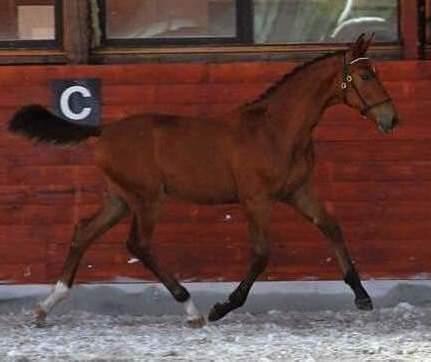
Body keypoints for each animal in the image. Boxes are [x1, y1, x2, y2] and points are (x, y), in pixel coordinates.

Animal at [8, 34, 400, 328]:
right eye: (366, 77)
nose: (391, 119)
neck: (276, 130)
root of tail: (104, 130)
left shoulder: (297, 191)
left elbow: (331, 226)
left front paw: (362, 296)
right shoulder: (256, 199)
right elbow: (261, 254)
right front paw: (222, 307)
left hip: (119, 199)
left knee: (83, 233)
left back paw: (46, 306)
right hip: (147, 199)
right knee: (139, 244)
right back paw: (192, 309)